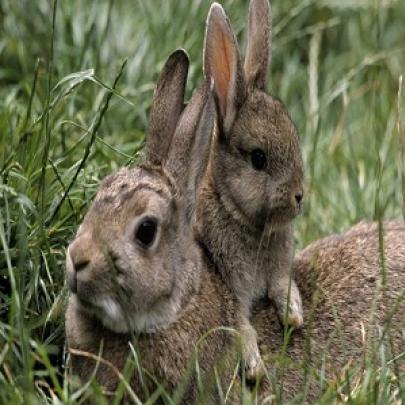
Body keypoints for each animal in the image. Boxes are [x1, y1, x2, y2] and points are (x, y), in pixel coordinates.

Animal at [193, 0, 304, 378]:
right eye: (258, 159)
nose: (299, 197)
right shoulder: (231, 287)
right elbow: (241, 324)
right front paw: (254, 365)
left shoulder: (279, 270)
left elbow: (283, 286)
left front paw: (294, 314)